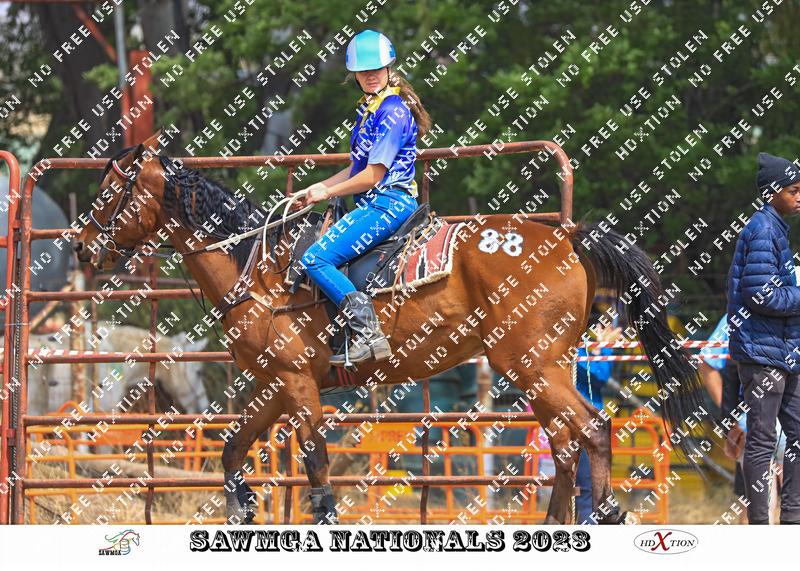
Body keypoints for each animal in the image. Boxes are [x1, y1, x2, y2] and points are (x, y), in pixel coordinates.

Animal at [74, 132, 703, 524]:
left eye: (110, 191)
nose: (81, 246)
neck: (259, 267)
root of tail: (568, 237)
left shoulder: (296, 383)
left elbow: (316, 464)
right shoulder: (275, 384)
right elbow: (232, 454)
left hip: (534, 365)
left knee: (592, 429)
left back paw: (604, 515)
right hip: (539, 368)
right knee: (566, 443)